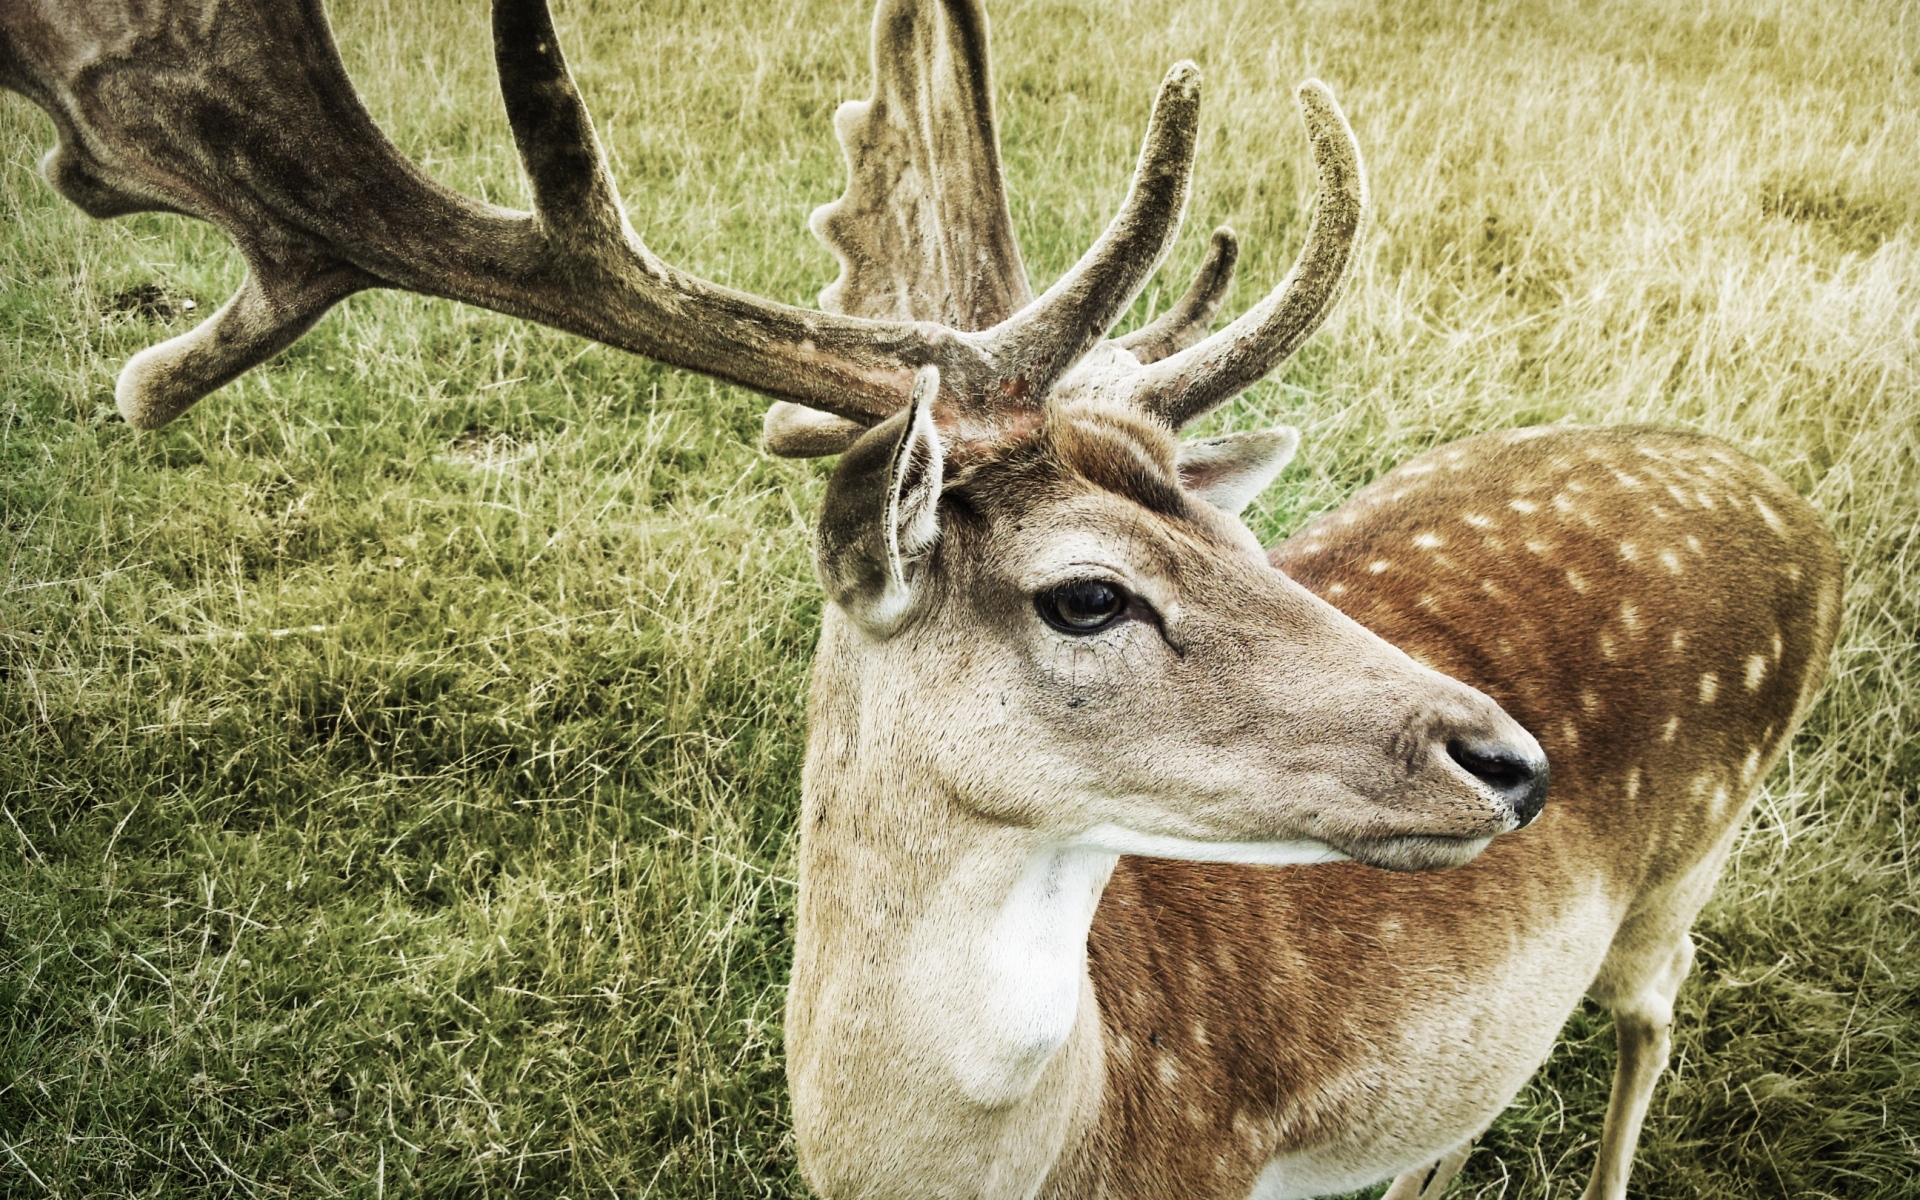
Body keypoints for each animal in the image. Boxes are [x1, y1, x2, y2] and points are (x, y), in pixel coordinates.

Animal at [2, 0, 1842, 1196]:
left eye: (1248, 545)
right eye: (1088, 597)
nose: (1509, 760)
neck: (1058, 1142)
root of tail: (1790, 501)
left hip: (1699, 855)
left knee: (1650, 1024)